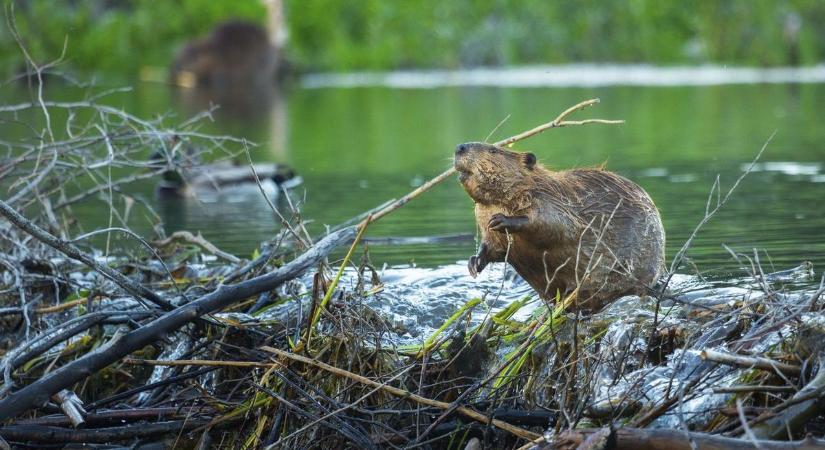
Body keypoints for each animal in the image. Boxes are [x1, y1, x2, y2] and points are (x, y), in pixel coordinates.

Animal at [454, 142, 668, 312]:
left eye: (493, 150)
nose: (460, 147)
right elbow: (493, 247)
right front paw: (474, 263)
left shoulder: (551, 200)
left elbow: (555, 225)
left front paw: (501, 220)